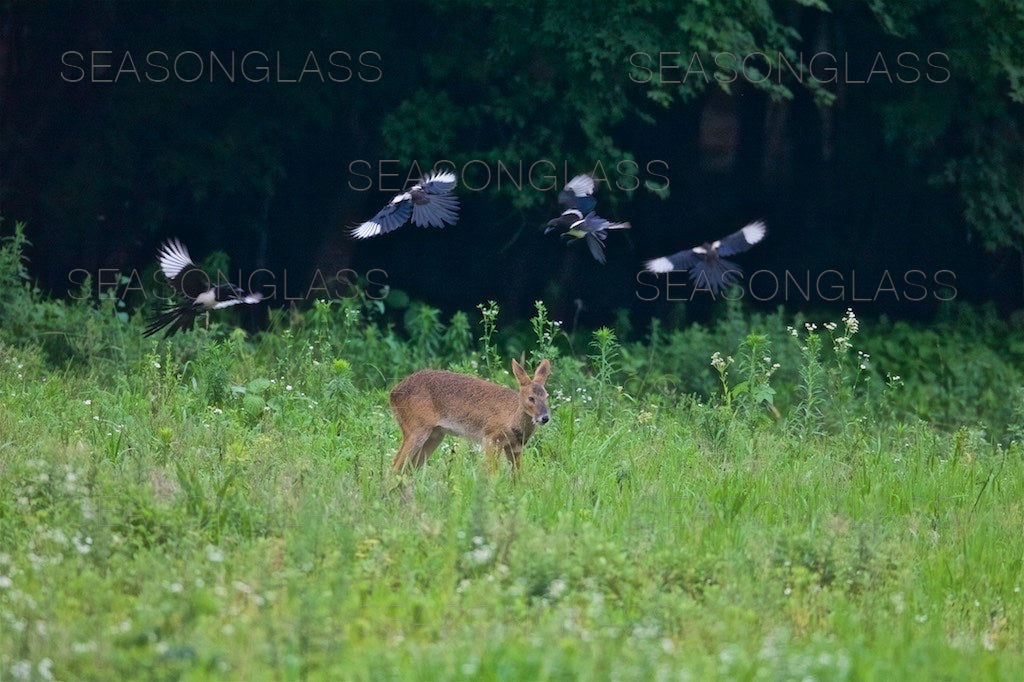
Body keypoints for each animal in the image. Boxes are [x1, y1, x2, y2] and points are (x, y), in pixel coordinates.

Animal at [389, 358, 552, 471]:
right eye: (531, 398)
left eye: (546, 396)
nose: (544, 418)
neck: (511, 421)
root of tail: (392, 394)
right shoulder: (491, 439)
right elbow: (492, 474)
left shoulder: (515, 448)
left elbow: (516, 478)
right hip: (416, 427)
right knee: (395, 466)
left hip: (435, 434)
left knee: (408, 470)